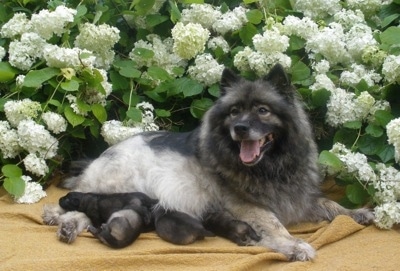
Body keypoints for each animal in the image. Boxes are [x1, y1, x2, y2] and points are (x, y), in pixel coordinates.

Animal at [44, 63, 376, 262]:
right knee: (77, 201)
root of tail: (104, 153)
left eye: (262, 110)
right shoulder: (248, 206)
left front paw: (357, 213)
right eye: (234, 112)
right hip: (122, 181)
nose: (240, 128)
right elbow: (275, 225)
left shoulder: (299, 197)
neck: (271, 166)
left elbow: (330, 205)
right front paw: (294, 245)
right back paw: (61, 220)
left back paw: (68, 227)